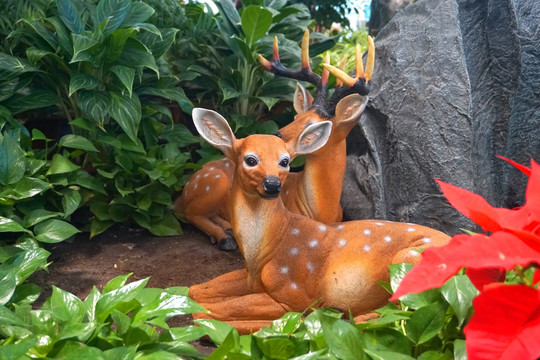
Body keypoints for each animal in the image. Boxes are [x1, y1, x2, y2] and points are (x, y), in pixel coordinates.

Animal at [175, 31, 374, 249]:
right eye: (295, 117)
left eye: (312, 125)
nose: (277, 135)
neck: (323, 211)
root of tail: (186, 188)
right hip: (213, 183)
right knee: (188, 213)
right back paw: (224, 237)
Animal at [188, 107, 450, 334]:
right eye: (250, 159)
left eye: (285, 161)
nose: (273, 184)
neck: (262, 253)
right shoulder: (251, 279)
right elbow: (195, 291)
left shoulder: (293, 291)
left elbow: (208, 312)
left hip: (408, 263)